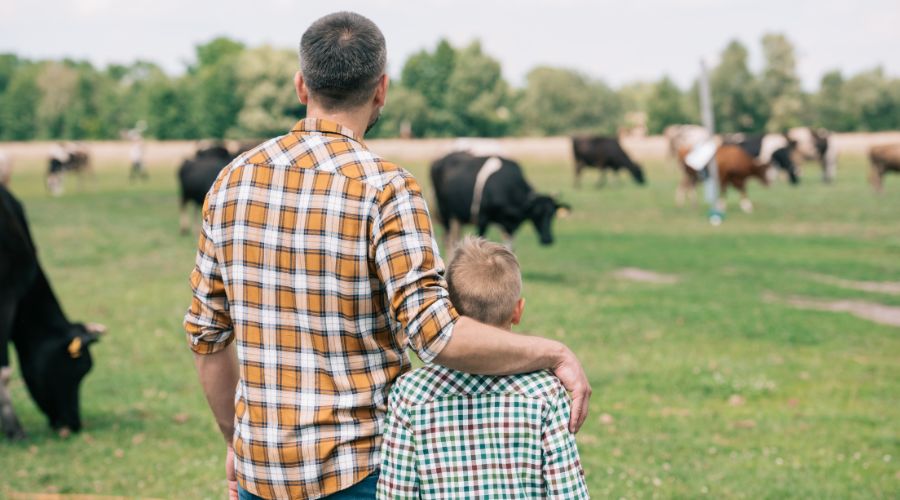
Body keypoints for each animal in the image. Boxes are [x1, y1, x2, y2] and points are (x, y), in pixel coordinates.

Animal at [428, 150, 568, 252]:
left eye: (552, 214)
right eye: (536, 213)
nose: (548, 239)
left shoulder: (511, 226)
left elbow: (510, 248)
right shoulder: (482, 218)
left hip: (458, 218)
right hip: (445, 213)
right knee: (448, 241)